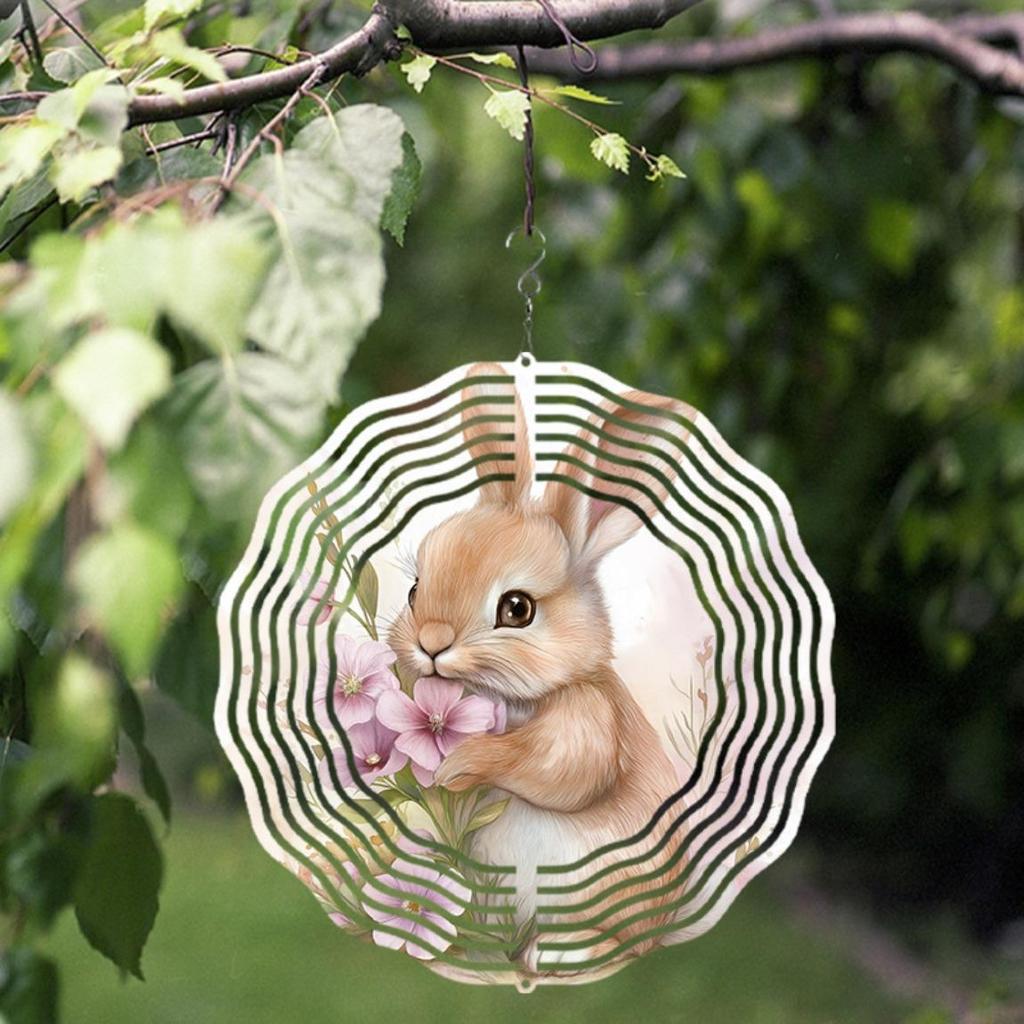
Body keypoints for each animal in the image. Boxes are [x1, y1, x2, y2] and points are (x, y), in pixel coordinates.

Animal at [388, 363, 692, 974]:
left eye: (517, 609)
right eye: (413, 590)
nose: (430, 643)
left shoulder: (587, 719)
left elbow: (555, 765)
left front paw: (457, 768)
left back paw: (555, 952)